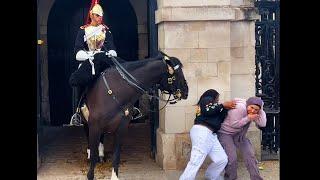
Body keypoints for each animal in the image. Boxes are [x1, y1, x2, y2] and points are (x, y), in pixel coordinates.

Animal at [79, 51, 188, 179]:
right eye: (177, 73)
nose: (186, 91)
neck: (118, 92)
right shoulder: (95, 127)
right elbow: (93, 154)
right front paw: (90, 173)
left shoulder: (120, 129)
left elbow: (116, 155)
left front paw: (114, 176)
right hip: (87, 124)